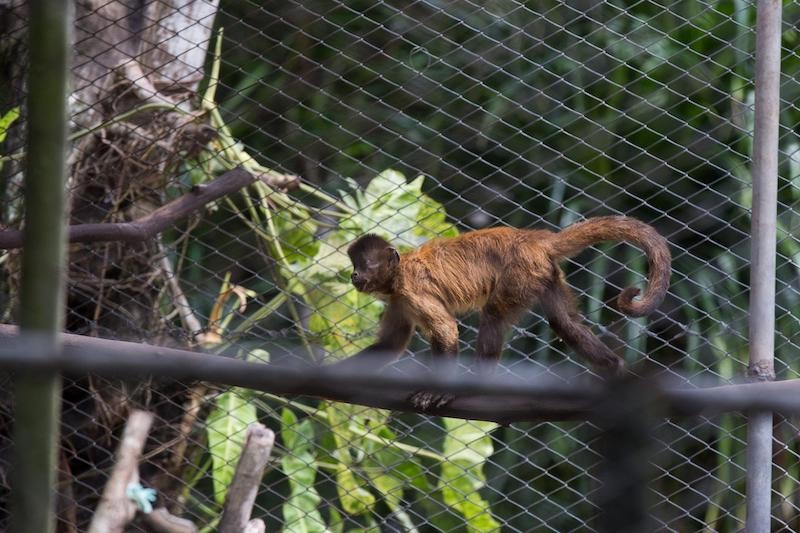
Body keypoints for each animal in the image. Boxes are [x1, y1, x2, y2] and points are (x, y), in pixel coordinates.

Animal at [334, 214, 672, 410]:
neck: (399, 274)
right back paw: (613, 367)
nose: (353, 275)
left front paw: (439, 391)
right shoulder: (398, 301)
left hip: (520, 272)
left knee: (494, 313)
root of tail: (532, 238)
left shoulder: (412, 292)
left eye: (364, 265)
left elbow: (446, 331)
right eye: (355, 265)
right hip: (543, 273)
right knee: (564, 323)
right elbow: (389, 345)